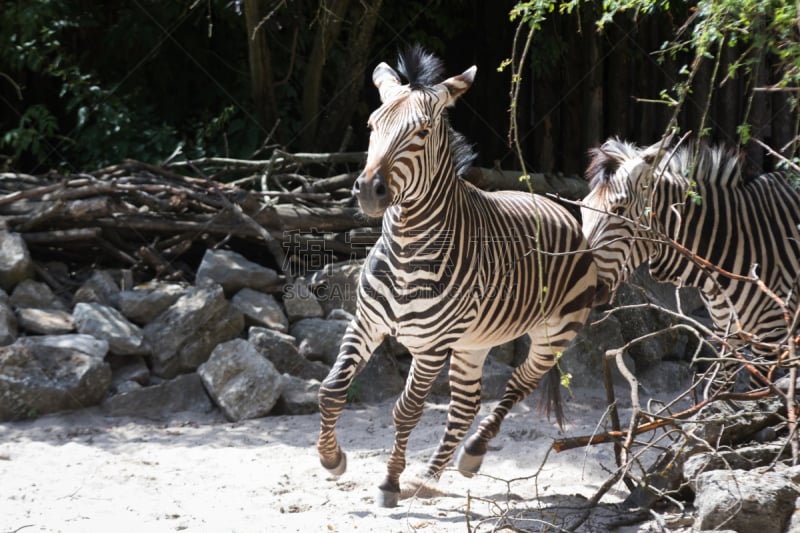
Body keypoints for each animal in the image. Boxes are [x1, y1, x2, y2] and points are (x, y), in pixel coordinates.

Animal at [316, 48, 596, 508]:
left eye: (422, 132)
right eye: (373, 126)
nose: (368, 191)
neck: (407, 250)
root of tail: (553, 203)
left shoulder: (431, 346)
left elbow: (406, 411)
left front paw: (389, 483)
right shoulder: (366, 323)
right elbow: (331, 389)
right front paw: (332, 459)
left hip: (553, 334)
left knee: (515, 387)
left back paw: (470, 456)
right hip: (472, 342)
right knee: (465, 405)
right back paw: (427, 478)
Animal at [580, 137, 800, 384]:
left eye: (618, 209)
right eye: (583, 208)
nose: (585, 287)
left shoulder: (771, 335)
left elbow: (759, 394)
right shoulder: (726, 331)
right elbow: (719, 388)